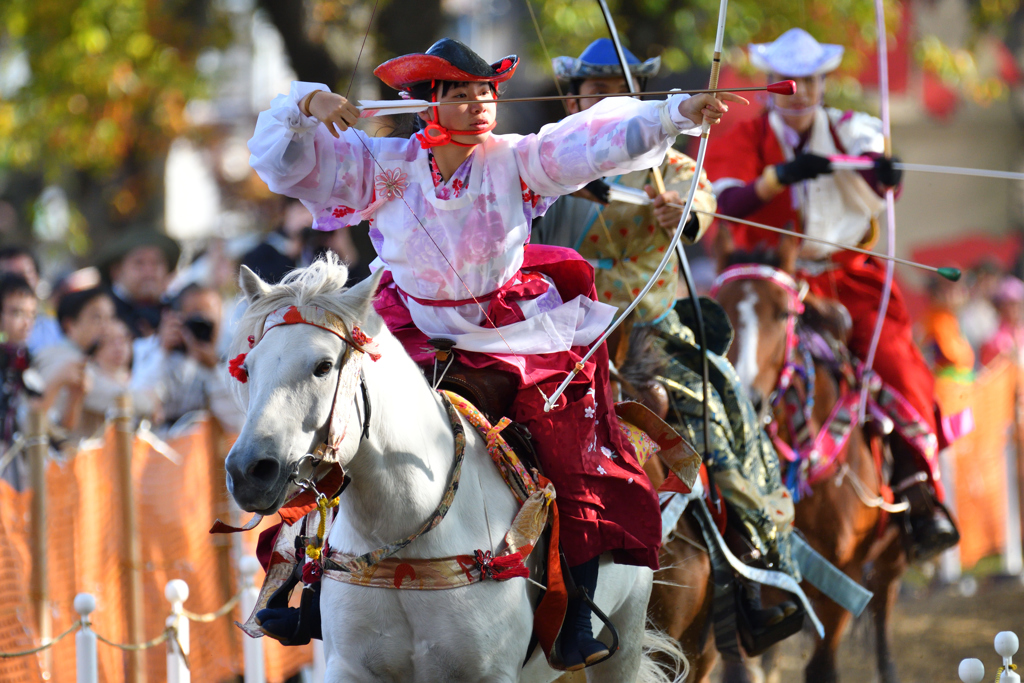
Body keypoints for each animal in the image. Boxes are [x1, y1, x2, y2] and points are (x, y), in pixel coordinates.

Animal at [226, 258, 688, 683]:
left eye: (323, 366)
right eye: (247, 369)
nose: (248, 471)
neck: (404, 538)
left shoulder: (491, 673)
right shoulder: (350, 668)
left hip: (627, 629)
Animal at [708, 248, 909, 683]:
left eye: (784, 313)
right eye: (717, 307)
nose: (746, 398)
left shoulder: (843, 585)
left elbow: (822, 667)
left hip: (890, 557)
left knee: (883, 612)